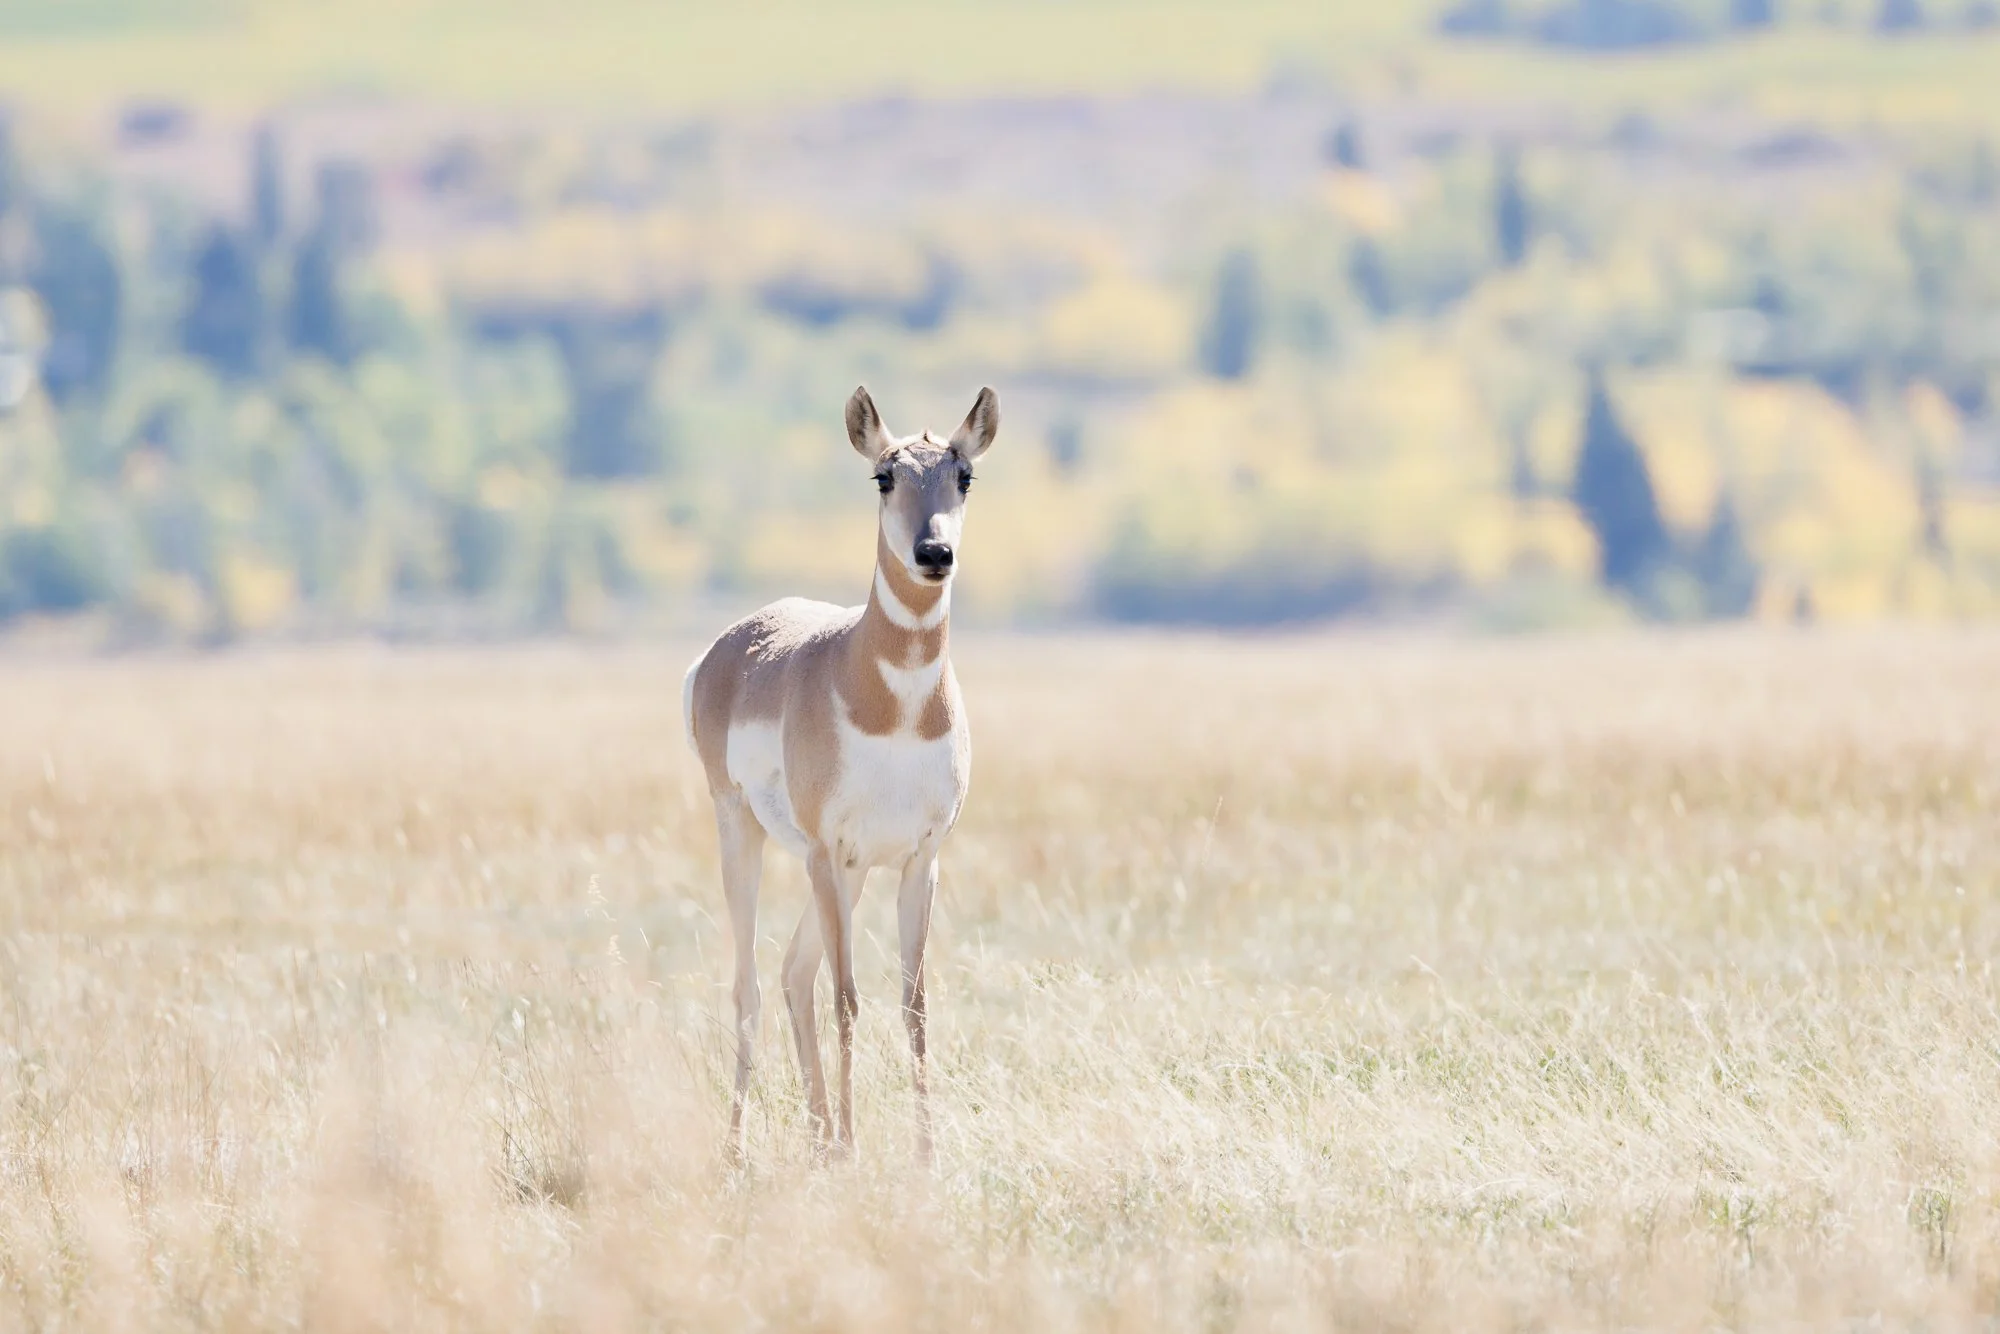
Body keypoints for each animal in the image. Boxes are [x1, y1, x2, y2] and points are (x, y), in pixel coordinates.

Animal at [682, 385, 999, 1161]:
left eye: (964, 475)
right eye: (883, 476)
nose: (934, 552)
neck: (892, 706)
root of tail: (724, 649)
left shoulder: (918, 860)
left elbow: (914, 1003)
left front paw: (925, 1154)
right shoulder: (829, 852)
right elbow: (847, 998)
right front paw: (860, 1146)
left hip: (844, 875)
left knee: (794, 974)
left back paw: (821, 1139)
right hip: (749, 836)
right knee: (753, 987)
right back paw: (742, 1148)